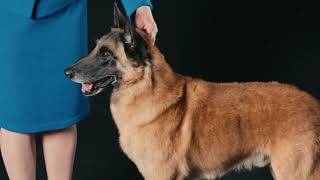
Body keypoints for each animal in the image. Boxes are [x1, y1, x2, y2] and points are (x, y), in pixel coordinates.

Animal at [64, 3, 320, 180]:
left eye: (106, 54)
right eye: (96, 48)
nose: (66, 72)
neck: (145, 86)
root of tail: (314, 104)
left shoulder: (162, 174)